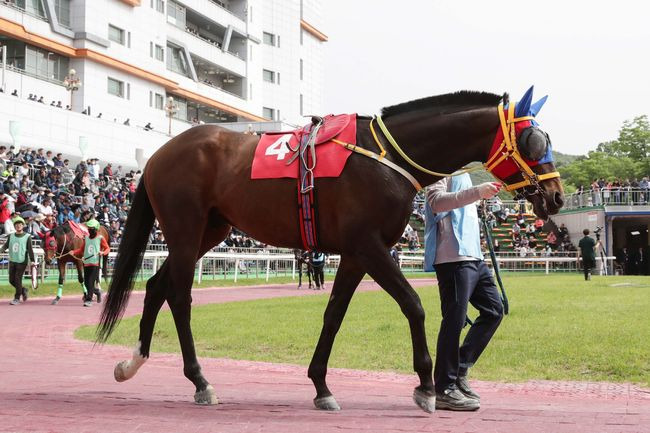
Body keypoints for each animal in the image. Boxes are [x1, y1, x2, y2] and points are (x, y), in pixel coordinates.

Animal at [96, 87, 560, 412]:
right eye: (535, 141)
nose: (555, 196)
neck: (387, 157)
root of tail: (159, 153)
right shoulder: (370, 247)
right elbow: (413, 305)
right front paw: (427, 387)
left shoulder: (355, 254)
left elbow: (334, 314)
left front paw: (321, 385)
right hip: (186, 229)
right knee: (178, 295)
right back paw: (200, 381)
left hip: (209, 230)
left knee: (156, 286)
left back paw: (132, 362)